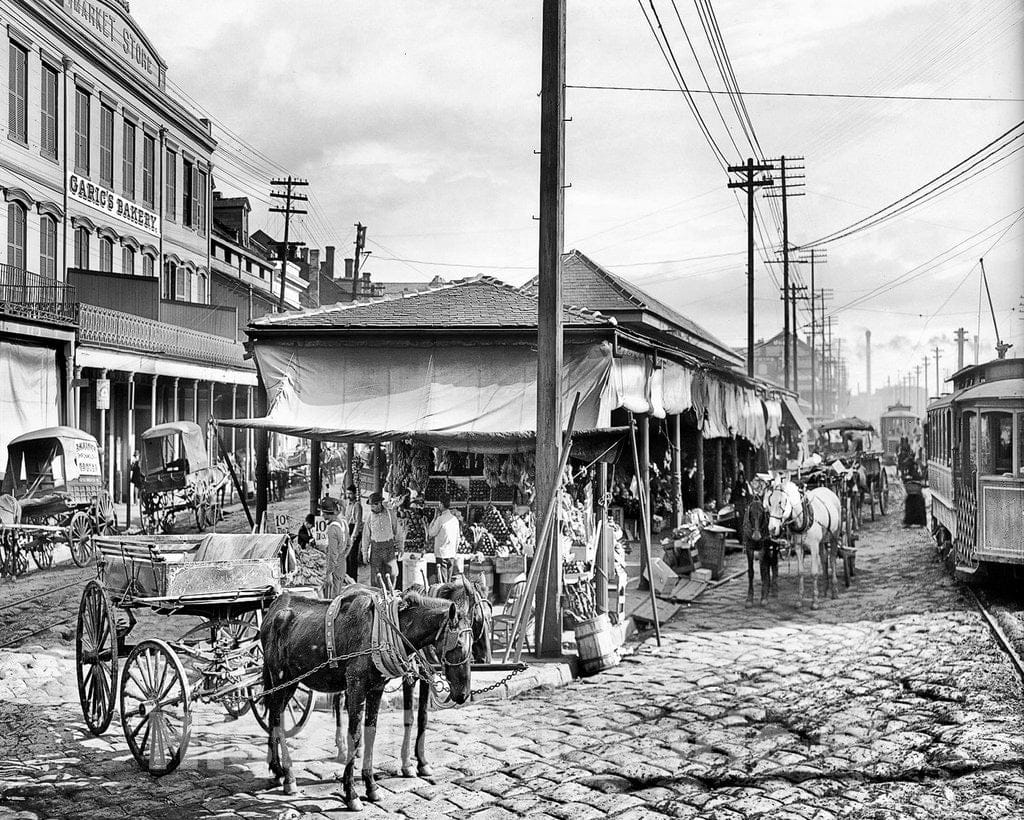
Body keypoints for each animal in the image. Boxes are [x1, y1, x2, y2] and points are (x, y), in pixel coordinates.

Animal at [260, 585, 475, 810]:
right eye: (459, 644)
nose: (463, 694)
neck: (384, 631)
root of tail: (275, 606)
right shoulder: (356, 686)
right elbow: (355, 735)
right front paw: (351, 793)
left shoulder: (376, 688)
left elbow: (371, 732)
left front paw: (371, 786)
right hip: (282, 679)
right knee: (277, 719)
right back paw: (289, 777)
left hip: (290, 682)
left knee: (273, 716)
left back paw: (277, 770)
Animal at [397, 573, 493, 778]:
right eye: (478, 619)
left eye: (491, 617)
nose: (486, 659)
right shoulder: (409, 677)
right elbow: (409, 718)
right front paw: (407, 764)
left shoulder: (427, 677)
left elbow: (423, 717)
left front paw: (422, 762)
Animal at [765, 477, 843, 606]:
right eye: (770, 502)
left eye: (781, 502)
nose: (772, 528)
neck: (802, 519)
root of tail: (827, 489)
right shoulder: (798, 547)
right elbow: (800, 572)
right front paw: (800, 599)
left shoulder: (813, 547)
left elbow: (814, 572)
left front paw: (815, 601)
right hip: (821, 541)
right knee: (824, 559)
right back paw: (825, 590)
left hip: (834, 536)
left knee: (832, 559)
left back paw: (835, 591)